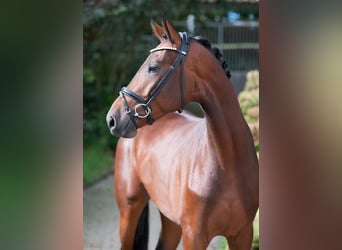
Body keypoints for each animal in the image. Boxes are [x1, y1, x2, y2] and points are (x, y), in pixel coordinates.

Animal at [105, 18, 258, 249]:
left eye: (152, 67)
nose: (112, 118)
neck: (227, 161)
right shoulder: (194, 236)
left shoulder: (242, 234)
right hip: (129, 211)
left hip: (171, 221)